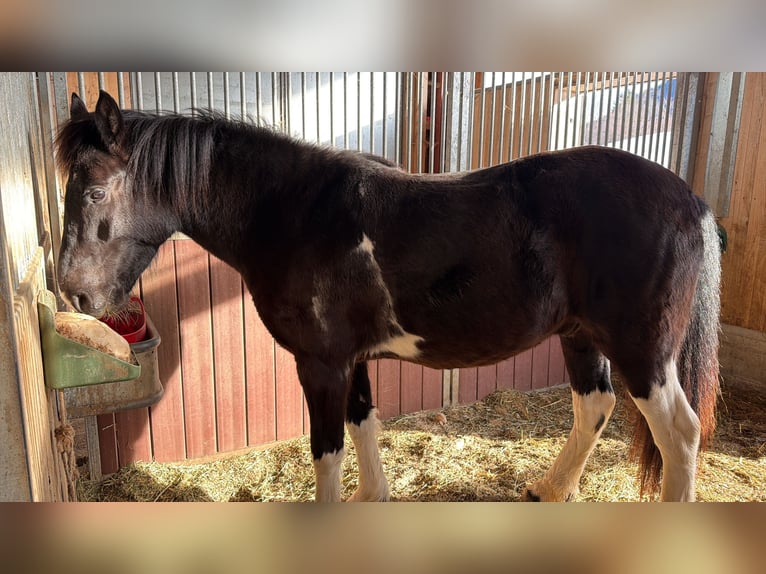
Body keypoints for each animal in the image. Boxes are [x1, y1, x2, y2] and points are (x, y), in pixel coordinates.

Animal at [55, 90, 721, 502]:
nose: (76, 295)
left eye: (93, 193)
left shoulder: (320, 365)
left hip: (644, 354)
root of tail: (691, 200)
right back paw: (548, 490)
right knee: (594, 408)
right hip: (582, 338)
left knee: (680, 434)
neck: (295, 215)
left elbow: (327, 450)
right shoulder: (352, 360)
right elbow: (363, 426)